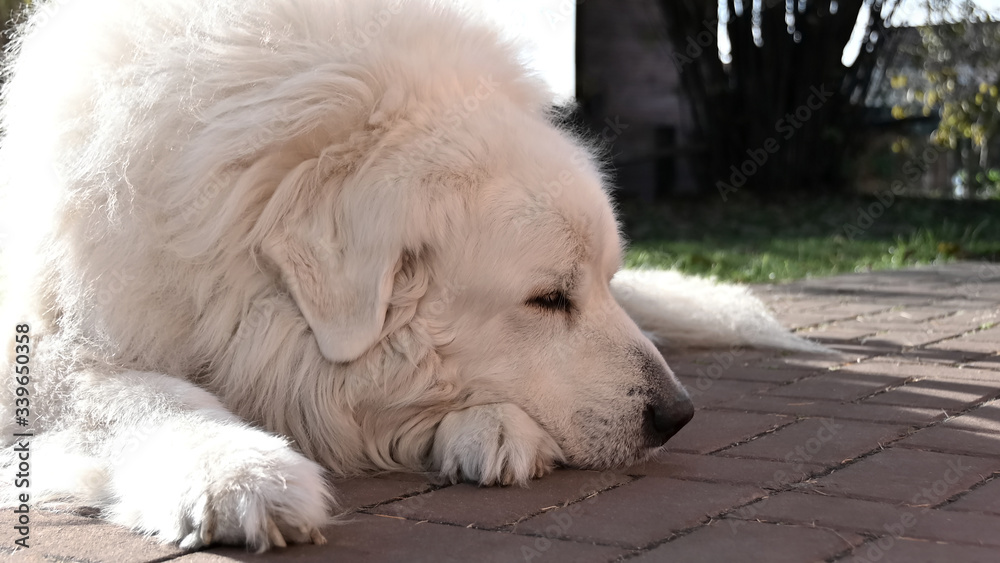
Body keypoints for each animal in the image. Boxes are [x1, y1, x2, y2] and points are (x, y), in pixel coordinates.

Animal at [0, 0, 824, 552]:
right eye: (548, 299)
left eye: (605, 283)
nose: (677, 415)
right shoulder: (51, 344)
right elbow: (136, 394)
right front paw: (238, 471)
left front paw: (492, 424)